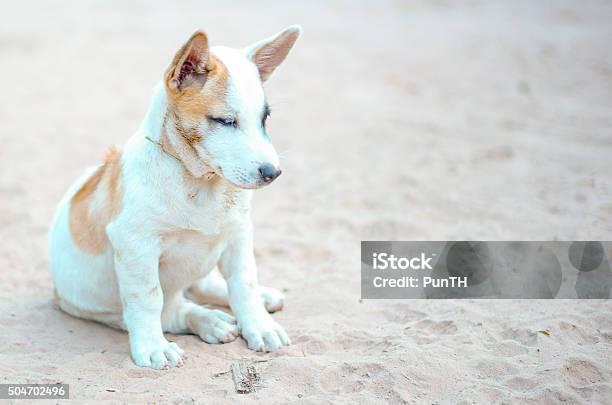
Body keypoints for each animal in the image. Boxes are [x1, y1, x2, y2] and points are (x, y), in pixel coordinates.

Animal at [48, 24, 302, 366]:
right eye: (225, 121)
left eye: (264, 119)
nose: (273, 173)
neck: (201, 182)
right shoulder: (136, 244)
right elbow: (148, 299)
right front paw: (153, 347)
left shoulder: (238, 233)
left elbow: (243, 283)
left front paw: (259, 325)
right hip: (106, 309)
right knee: (171, 310)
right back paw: (208, 321)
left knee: (205, 285)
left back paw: (258, 298)